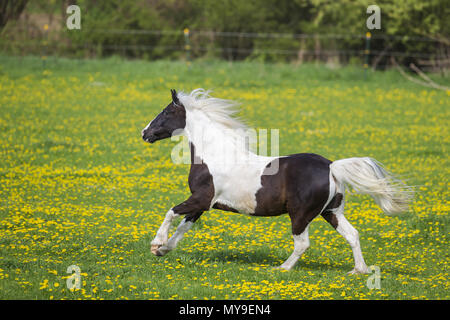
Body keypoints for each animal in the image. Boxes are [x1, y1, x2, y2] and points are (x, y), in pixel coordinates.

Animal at [141, 89, 412, 274]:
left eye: (166, 112)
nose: (145, 133)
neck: (215, 155)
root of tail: (331, 166)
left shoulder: (200, 199)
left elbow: (171, 212)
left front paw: (156, 243)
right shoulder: (204, 205)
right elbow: (183, 226)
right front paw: (162, 250)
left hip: (300, 214)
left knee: (302, 243)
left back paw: (282, 268)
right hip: (331, 211)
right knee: (353, 234)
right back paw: (359, 270)